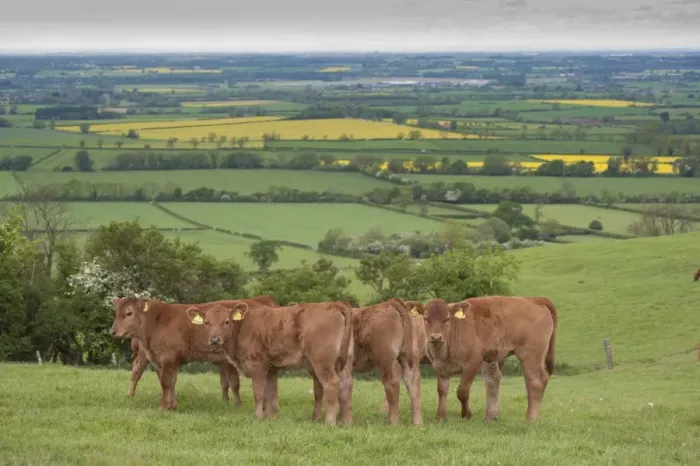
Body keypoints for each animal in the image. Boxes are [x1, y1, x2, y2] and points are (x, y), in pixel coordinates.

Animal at [110, 295, 278, 411]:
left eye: (129, 313)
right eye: (116, 312)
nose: (112, 331)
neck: (157, 320)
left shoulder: (168, 359)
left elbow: (166, 383)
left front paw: (163, 407)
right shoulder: (165, 361)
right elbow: (171, 383)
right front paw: (172, 406)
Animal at [186, 301, 353, 426]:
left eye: (226, 321)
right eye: (206, 322)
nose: (214, 339)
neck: (243, 327)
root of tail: (335, 304)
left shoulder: (258, 365)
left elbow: (259, 392)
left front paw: (258, 416)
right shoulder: (272, 368)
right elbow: (270, 391)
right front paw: (270, 417)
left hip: (322, 361)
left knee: (332, 384)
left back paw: (329, 422)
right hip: (341, 363)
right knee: (345, 385)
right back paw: (344, 421)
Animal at [410, 296, 558, 422]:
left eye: (447, 319)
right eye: (426, 318)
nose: (436, 337)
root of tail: (534, 299)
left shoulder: (473, 362)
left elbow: (462, 391)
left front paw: (466, 414)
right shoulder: (440, 366)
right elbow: (442, 390)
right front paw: (440, 417)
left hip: (531, 354)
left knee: (536, 381)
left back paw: (531, 418)